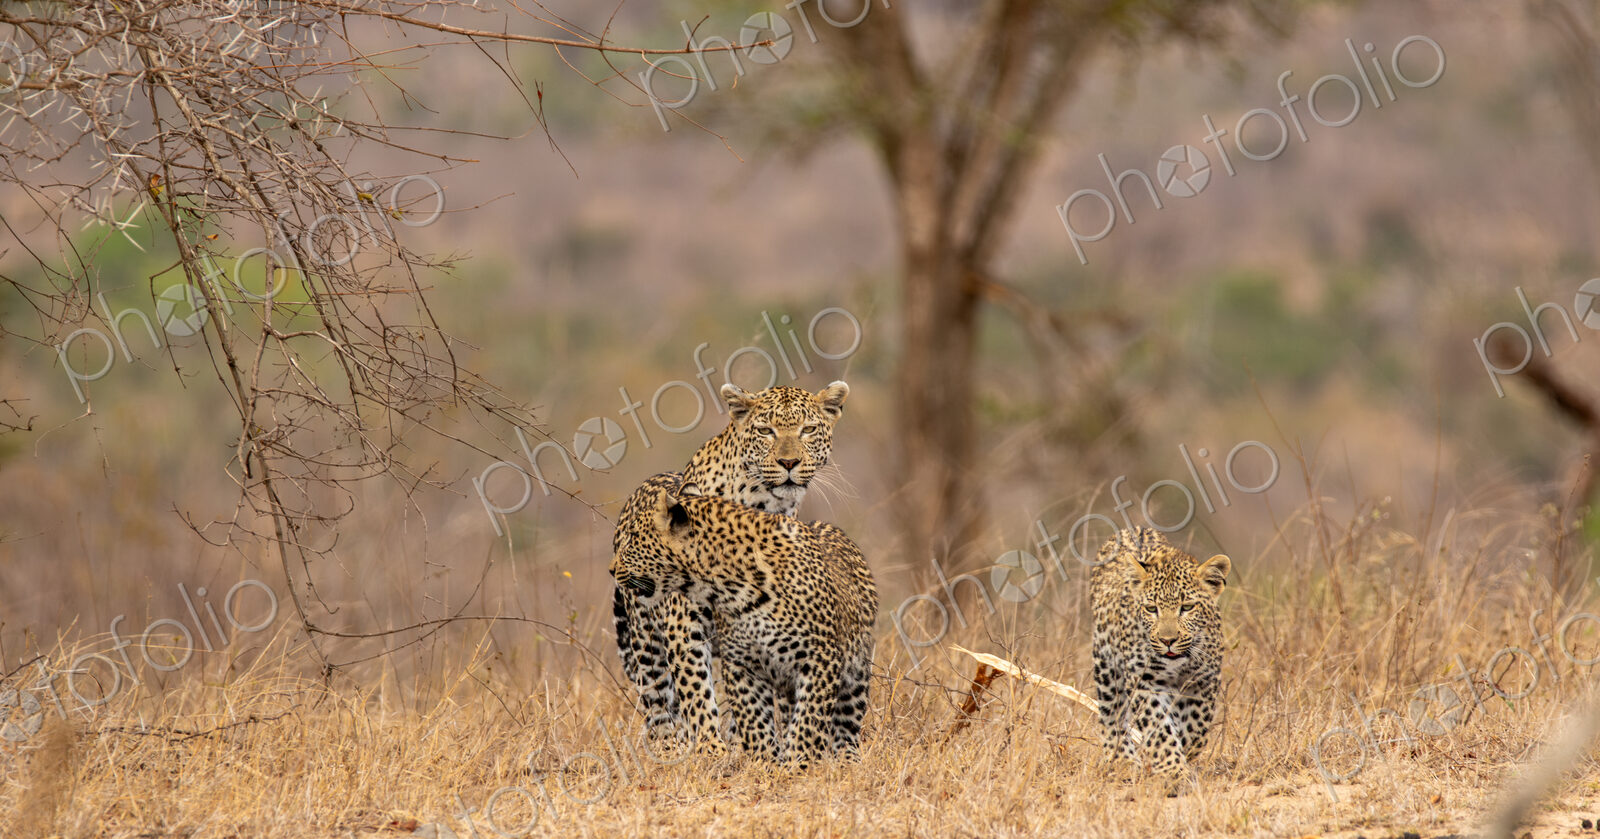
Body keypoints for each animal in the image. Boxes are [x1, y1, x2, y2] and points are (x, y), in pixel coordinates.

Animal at [610, 476, 877, 765]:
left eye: (633, 538)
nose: (611, 569)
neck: (728, 586)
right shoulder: (741, 663)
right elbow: (751, 719)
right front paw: (764, 764)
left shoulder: (820, 658)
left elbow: (809, 720)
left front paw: (797, 764)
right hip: (647, 651)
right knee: (659, 705)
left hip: (856, 671)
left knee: (845, 724)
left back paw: (846, 761)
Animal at [611, 381, 850, 753]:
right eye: (765, 431)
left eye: (808, 430)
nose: (789, 462)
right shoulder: (684, 623)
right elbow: (697, 692)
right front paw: (712, 750)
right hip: (646, 641)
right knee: (659, 703)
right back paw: (671, 747)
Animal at [1089, 526, 1230, 785]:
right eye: (1151, 609)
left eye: (1187, 607)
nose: (1167, 640)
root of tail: (1131, 528)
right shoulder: (1146, 682)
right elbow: (1160, 728)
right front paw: (1173, 770)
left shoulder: (1204, 680)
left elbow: (1196, 727)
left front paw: (1183, 753)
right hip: (1106, 665)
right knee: (1112, 714)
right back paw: (1121, 760)